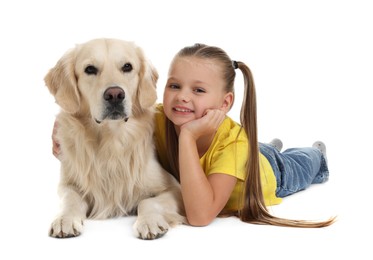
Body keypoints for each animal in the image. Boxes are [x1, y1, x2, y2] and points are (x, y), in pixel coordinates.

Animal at [45, 38, 185, 240]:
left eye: (127, 67)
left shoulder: (175, 189)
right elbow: (69, 199)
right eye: (90, 69)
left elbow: (147, 202)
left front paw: (149, 222)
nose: (115, 95)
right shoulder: (68, 183)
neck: (110, 140)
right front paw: (64, 219)